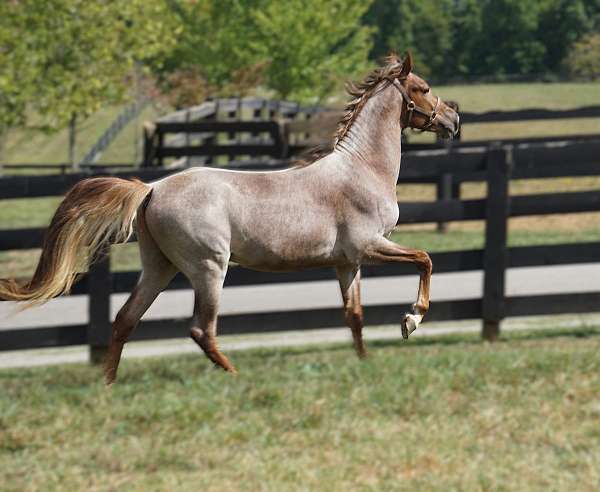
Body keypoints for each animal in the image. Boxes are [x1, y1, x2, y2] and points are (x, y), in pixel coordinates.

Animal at [0, 54, 460, 384]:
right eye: (422, 87)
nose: (453, 119)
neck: (362, 168)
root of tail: (152, 189)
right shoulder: (370, 245)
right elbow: (425, 259)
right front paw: (411, 320)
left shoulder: (348, 262)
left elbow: (355, 316)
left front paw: (365, 363)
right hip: (209, 268)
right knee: (201, 330)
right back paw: (234, 375)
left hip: (159, 267)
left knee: (125, 319)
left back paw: (109, 386)